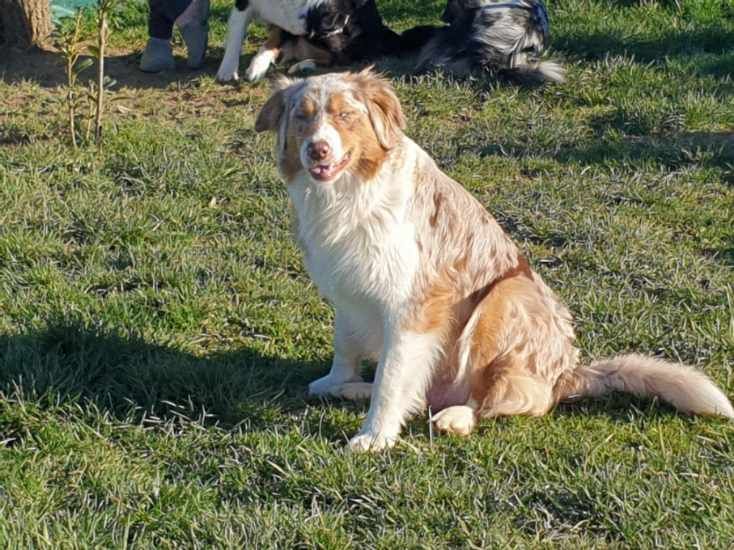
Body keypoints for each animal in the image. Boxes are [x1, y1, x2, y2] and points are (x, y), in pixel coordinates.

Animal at [217, 0, 402, 83]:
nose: (346, 26)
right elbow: (236, 35)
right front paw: (227, 70)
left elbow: (273, 38)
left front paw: (257, 67)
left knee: (337, 60)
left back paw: (303, 65)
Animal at [253, 70, 732, 452]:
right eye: (303, 117)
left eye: (345, 116)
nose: (317, 150)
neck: (349, 195)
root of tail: (567, 373)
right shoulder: (348, 288)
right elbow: (347, 345)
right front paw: (339, 381)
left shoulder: (415, 304)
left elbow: (393, 377)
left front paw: (375, 436)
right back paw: (356, 391)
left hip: (505, 295)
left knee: (511, 400)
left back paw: (457, 416)